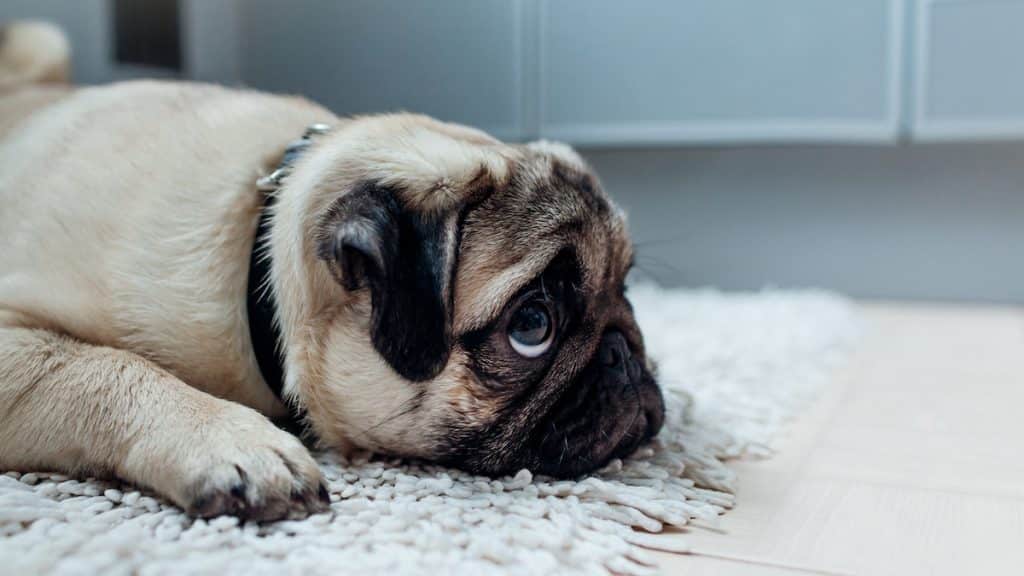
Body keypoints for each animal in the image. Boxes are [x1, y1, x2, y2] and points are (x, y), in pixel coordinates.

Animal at [0, 22, 663, 518]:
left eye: (626, 289)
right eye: (532, 326)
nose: (623, 354)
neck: (255, 254)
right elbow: (104, 367)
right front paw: (231, 438)